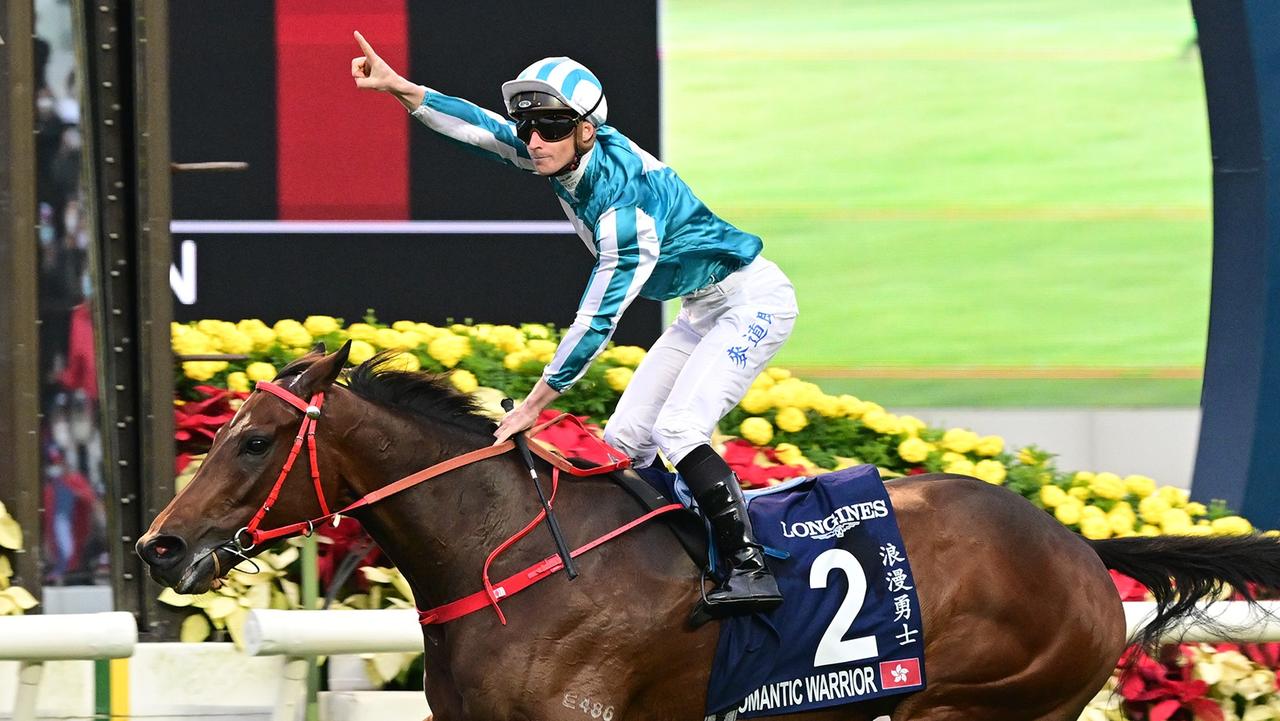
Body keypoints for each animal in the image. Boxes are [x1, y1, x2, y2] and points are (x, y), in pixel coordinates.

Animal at [140, 345, 1280, 717]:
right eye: (227, 428)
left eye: (253, 439)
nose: (161, 544)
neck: (509, 555)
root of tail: (1077, 546)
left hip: (974, 705)